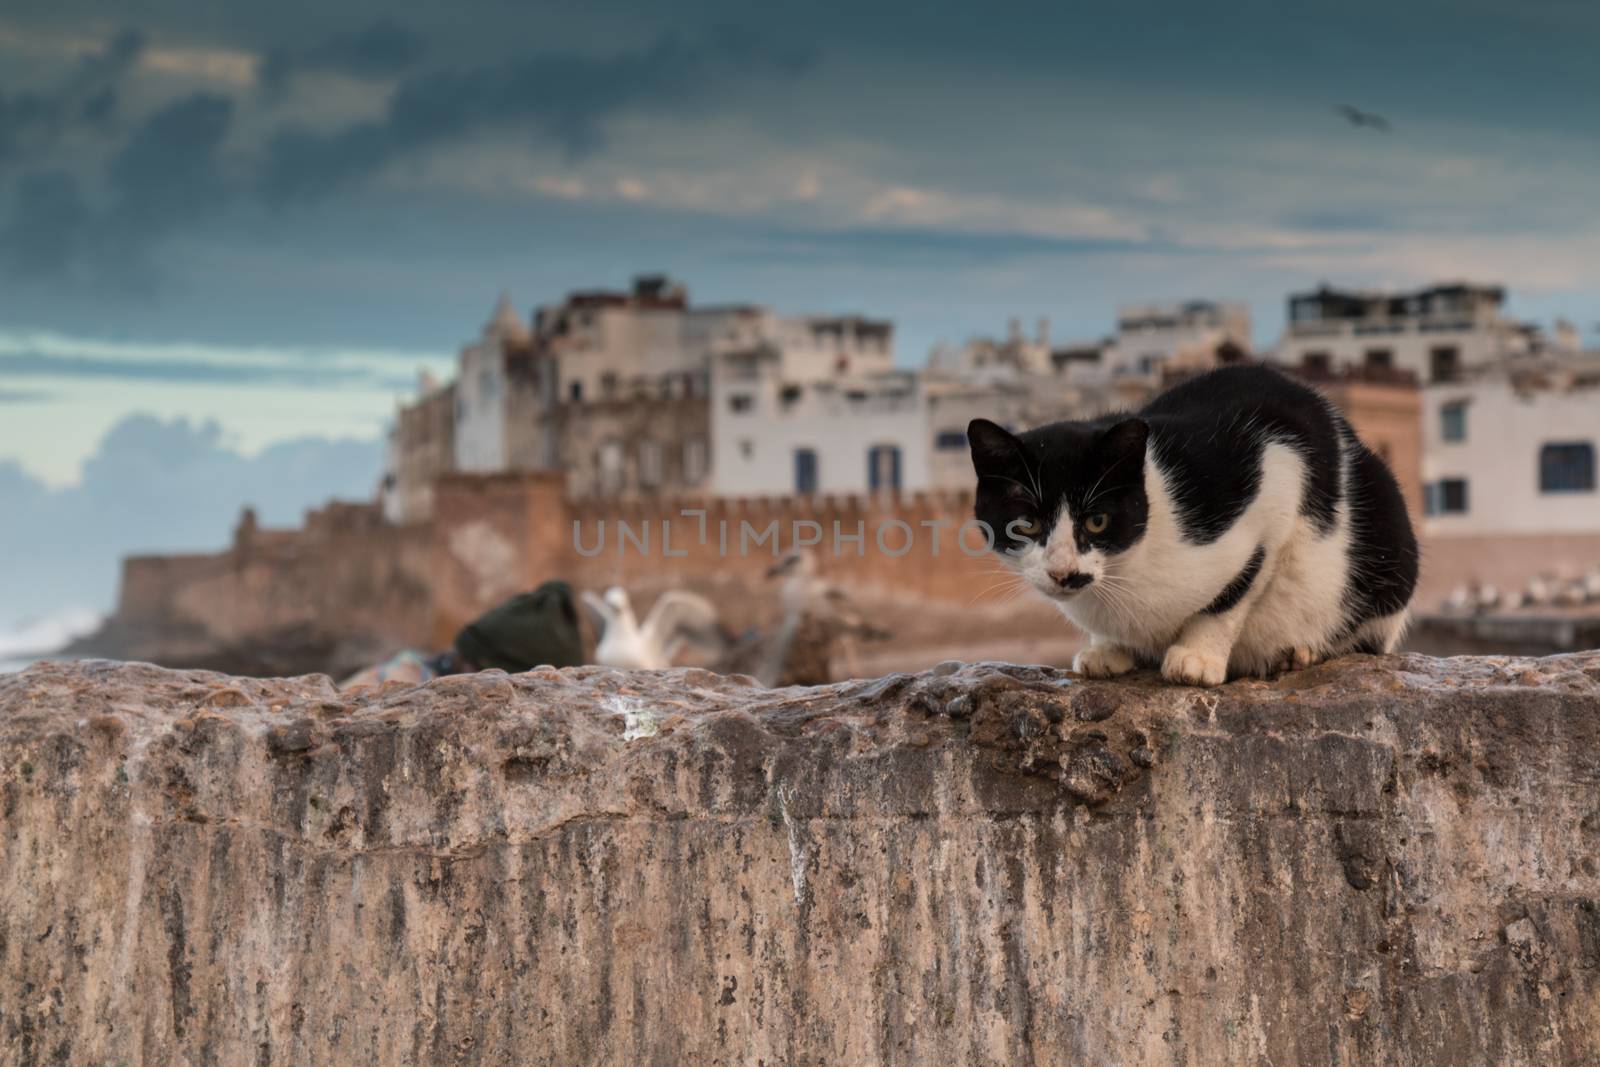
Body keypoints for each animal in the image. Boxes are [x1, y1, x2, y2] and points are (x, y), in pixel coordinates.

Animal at [966, 364, 1420, 684]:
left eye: (1097, 521)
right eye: (1025, 525)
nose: (1064, 573)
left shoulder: (1275, 471)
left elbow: (1231, 597)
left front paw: (1197, 660)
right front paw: (1107, 650)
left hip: (1387, 538)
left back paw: (1299, 653)